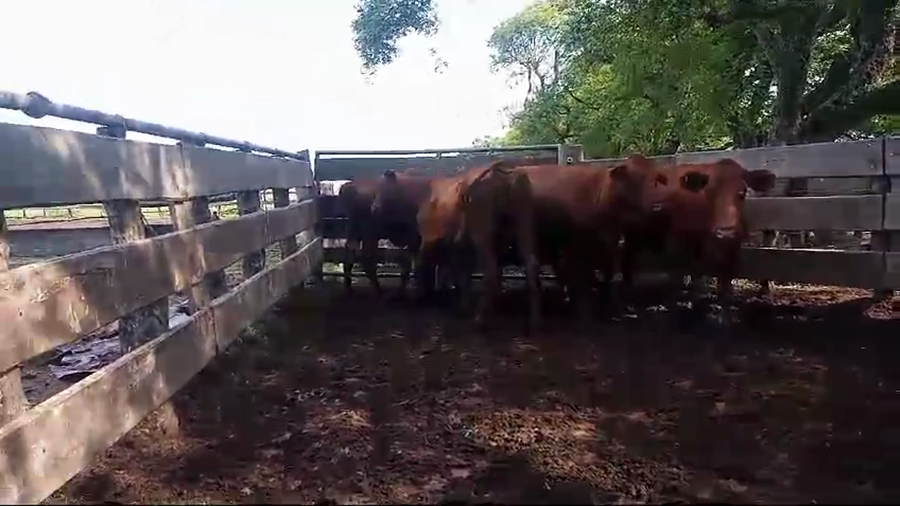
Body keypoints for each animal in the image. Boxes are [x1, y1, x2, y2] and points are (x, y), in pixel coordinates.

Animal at [649, 158, 776, 327]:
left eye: (742, 192)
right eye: (709, 192)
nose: (725, 232)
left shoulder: (733, 248)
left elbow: (726, 283)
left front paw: (725, 316)